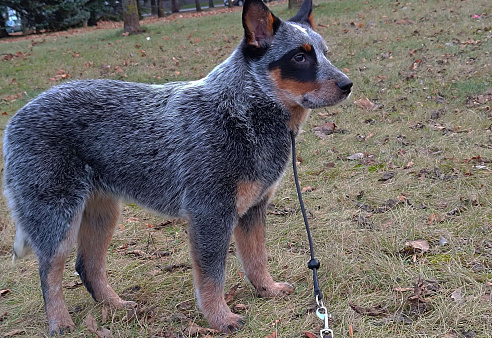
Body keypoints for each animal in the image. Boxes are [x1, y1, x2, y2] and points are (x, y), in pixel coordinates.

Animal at [1, 0, 352, 334]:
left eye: (325, 53)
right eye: (299, 57)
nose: (348, 84)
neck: (241, 112)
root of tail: (16, 117)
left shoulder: (253, 209)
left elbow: (256, 259)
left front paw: (267, 289)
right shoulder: (210, 214)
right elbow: (212, 278)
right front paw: (221, 318)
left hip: (102, 213)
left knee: (88, 265)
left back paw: (117, 306)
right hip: (57, 217)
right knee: (49, 273)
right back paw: (59, 323)